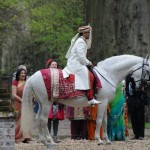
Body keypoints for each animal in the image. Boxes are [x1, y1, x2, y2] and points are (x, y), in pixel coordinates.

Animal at [20, 54, 149, 146]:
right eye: (147, 71)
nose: (142, 86)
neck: (108, 74)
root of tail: (33, 76)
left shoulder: (105, 103)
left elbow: (105, 121)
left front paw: (107, 140)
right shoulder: (102, 102)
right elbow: (99, 121)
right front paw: (99, 140)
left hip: (42, 103)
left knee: (38, 119)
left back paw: (44, 141)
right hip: (47, 103)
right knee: (43, 119)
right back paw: (50, 141)